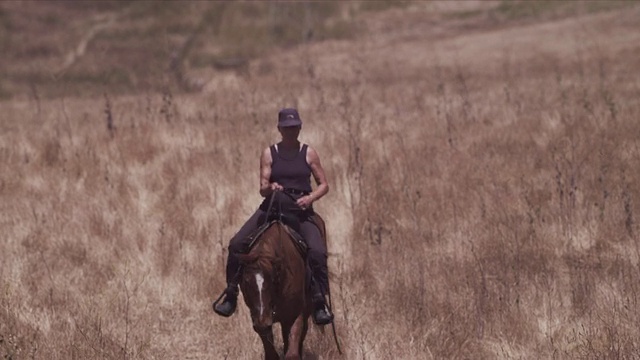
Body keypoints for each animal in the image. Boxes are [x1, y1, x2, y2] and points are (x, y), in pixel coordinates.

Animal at [235, 214, 324, 360]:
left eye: (273, 281)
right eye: (246, 282)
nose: (263, 321)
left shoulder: (295, 314)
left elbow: (292, 352)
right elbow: (271, 352)